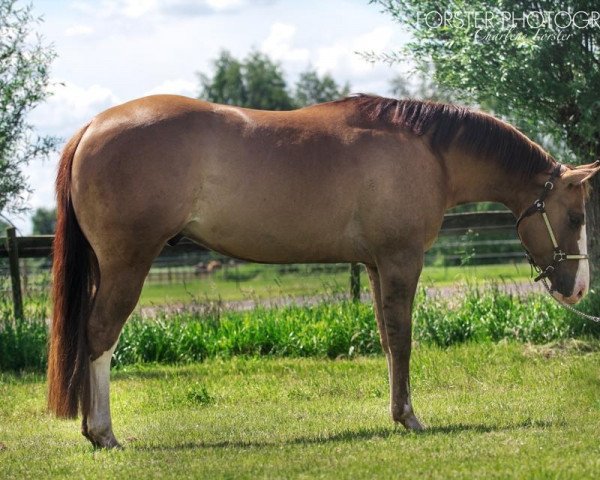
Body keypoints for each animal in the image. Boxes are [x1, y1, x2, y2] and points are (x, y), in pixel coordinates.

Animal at [48, 94, 600, 450]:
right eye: (576, 217)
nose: (577, 290)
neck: (427, 151)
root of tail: (92, 127)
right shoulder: (402, 260)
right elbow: (403, 339)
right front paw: (410, 418)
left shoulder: (376, 265)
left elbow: (387, 339)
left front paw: (397, 414)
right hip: (128, 263)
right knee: (100, 335)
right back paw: (104, 433)